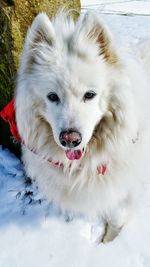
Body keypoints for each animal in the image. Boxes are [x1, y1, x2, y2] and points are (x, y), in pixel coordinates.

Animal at [15, 11, 150, 243]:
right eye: (52, 97)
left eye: (90, 95)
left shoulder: (126, 187)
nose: (70, 140)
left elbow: (116, 218)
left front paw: (109, 242)